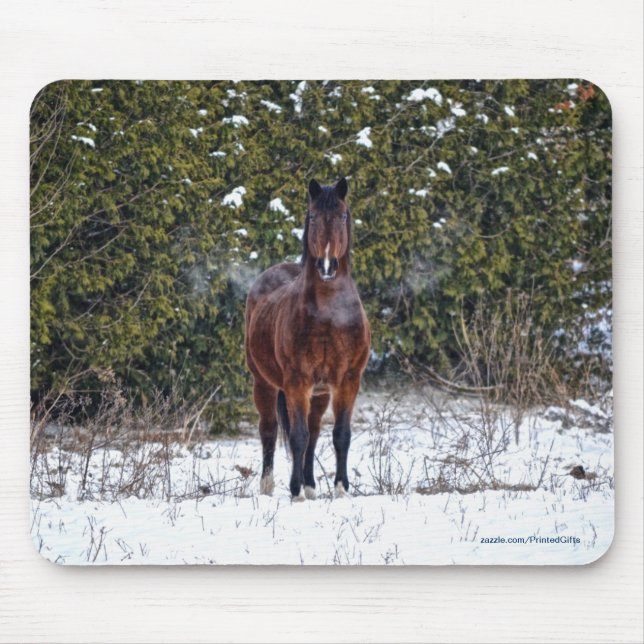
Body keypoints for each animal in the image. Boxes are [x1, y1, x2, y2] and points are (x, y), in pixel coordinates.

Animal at [244, 177, 371, 501]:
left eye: (341, 215)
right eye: (313, 216)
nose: (327, 266)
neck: (328, 314)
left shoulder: (347, 381)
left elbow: (340, 435)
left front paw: (340, 488)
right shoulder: (297, 381)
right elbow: (297, 436)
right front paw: (295, 491)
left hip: (320, 392)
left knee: (314, 432)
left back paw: (312, 486)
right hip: (263, 383)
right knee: (269, 430)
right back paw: (269, 486)